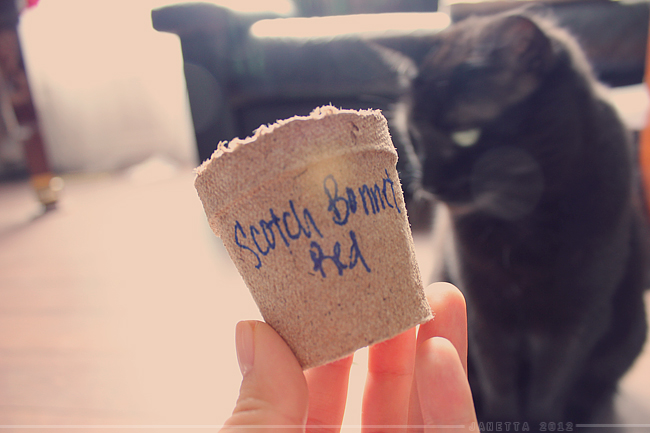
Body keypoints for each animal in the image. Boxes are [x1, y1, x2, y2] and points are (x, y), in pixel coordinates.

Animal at [395, 12, 649, 426]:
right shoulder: (485, 310)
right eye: (414, 137)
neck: (522, 220)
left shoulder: (576, 318)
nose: (427, 184)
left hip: (631, 331)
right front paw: (499, 418)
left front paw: (543, 422)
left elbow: (549, 387)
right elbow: (499, 381)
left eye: (465, 134)